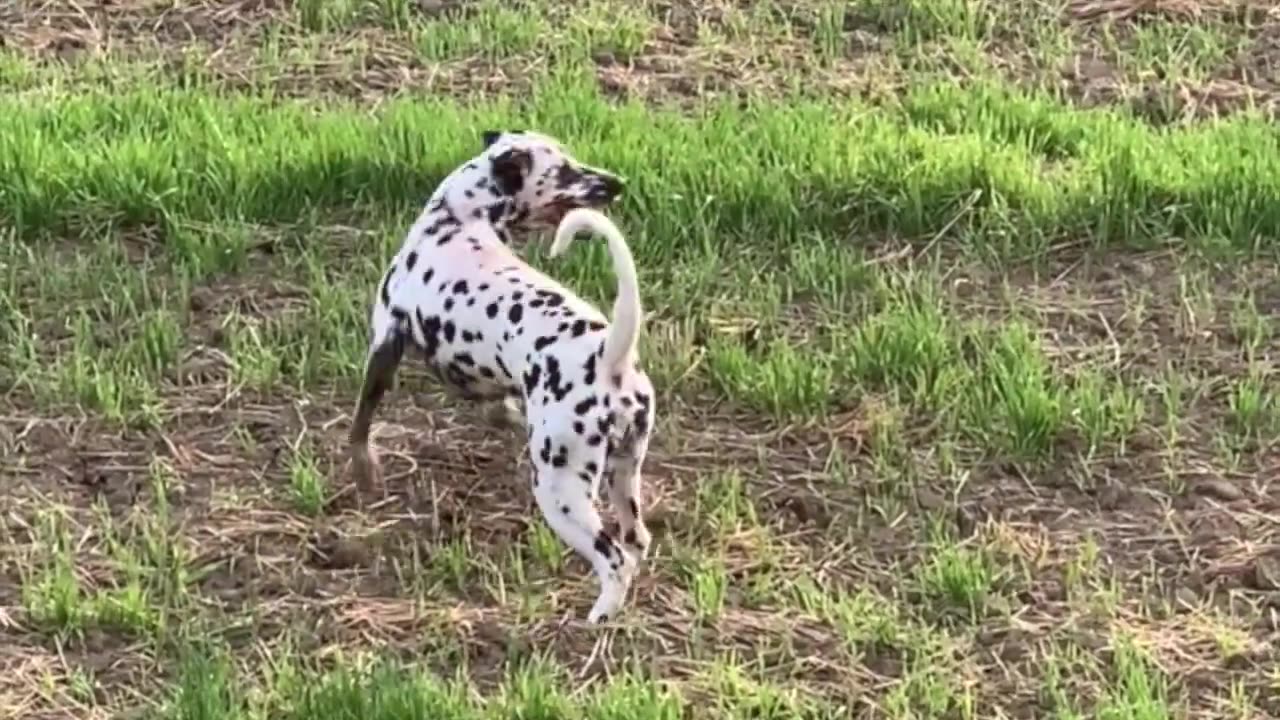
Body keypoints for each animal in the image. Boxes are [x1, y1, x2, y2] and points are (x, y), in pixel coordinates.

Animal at [348, 130, 655, 622]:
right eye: (565, 170)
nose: (617, 182)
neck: (456, 219)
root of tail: (610, 355)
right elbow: (498, 409)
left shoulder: (384, 344)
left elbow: (360, 424)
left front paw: (365, 473)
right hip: (626, 472)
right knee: (636, 540)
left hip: (561, 491)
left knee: (615, 560)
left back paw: (595, 621)